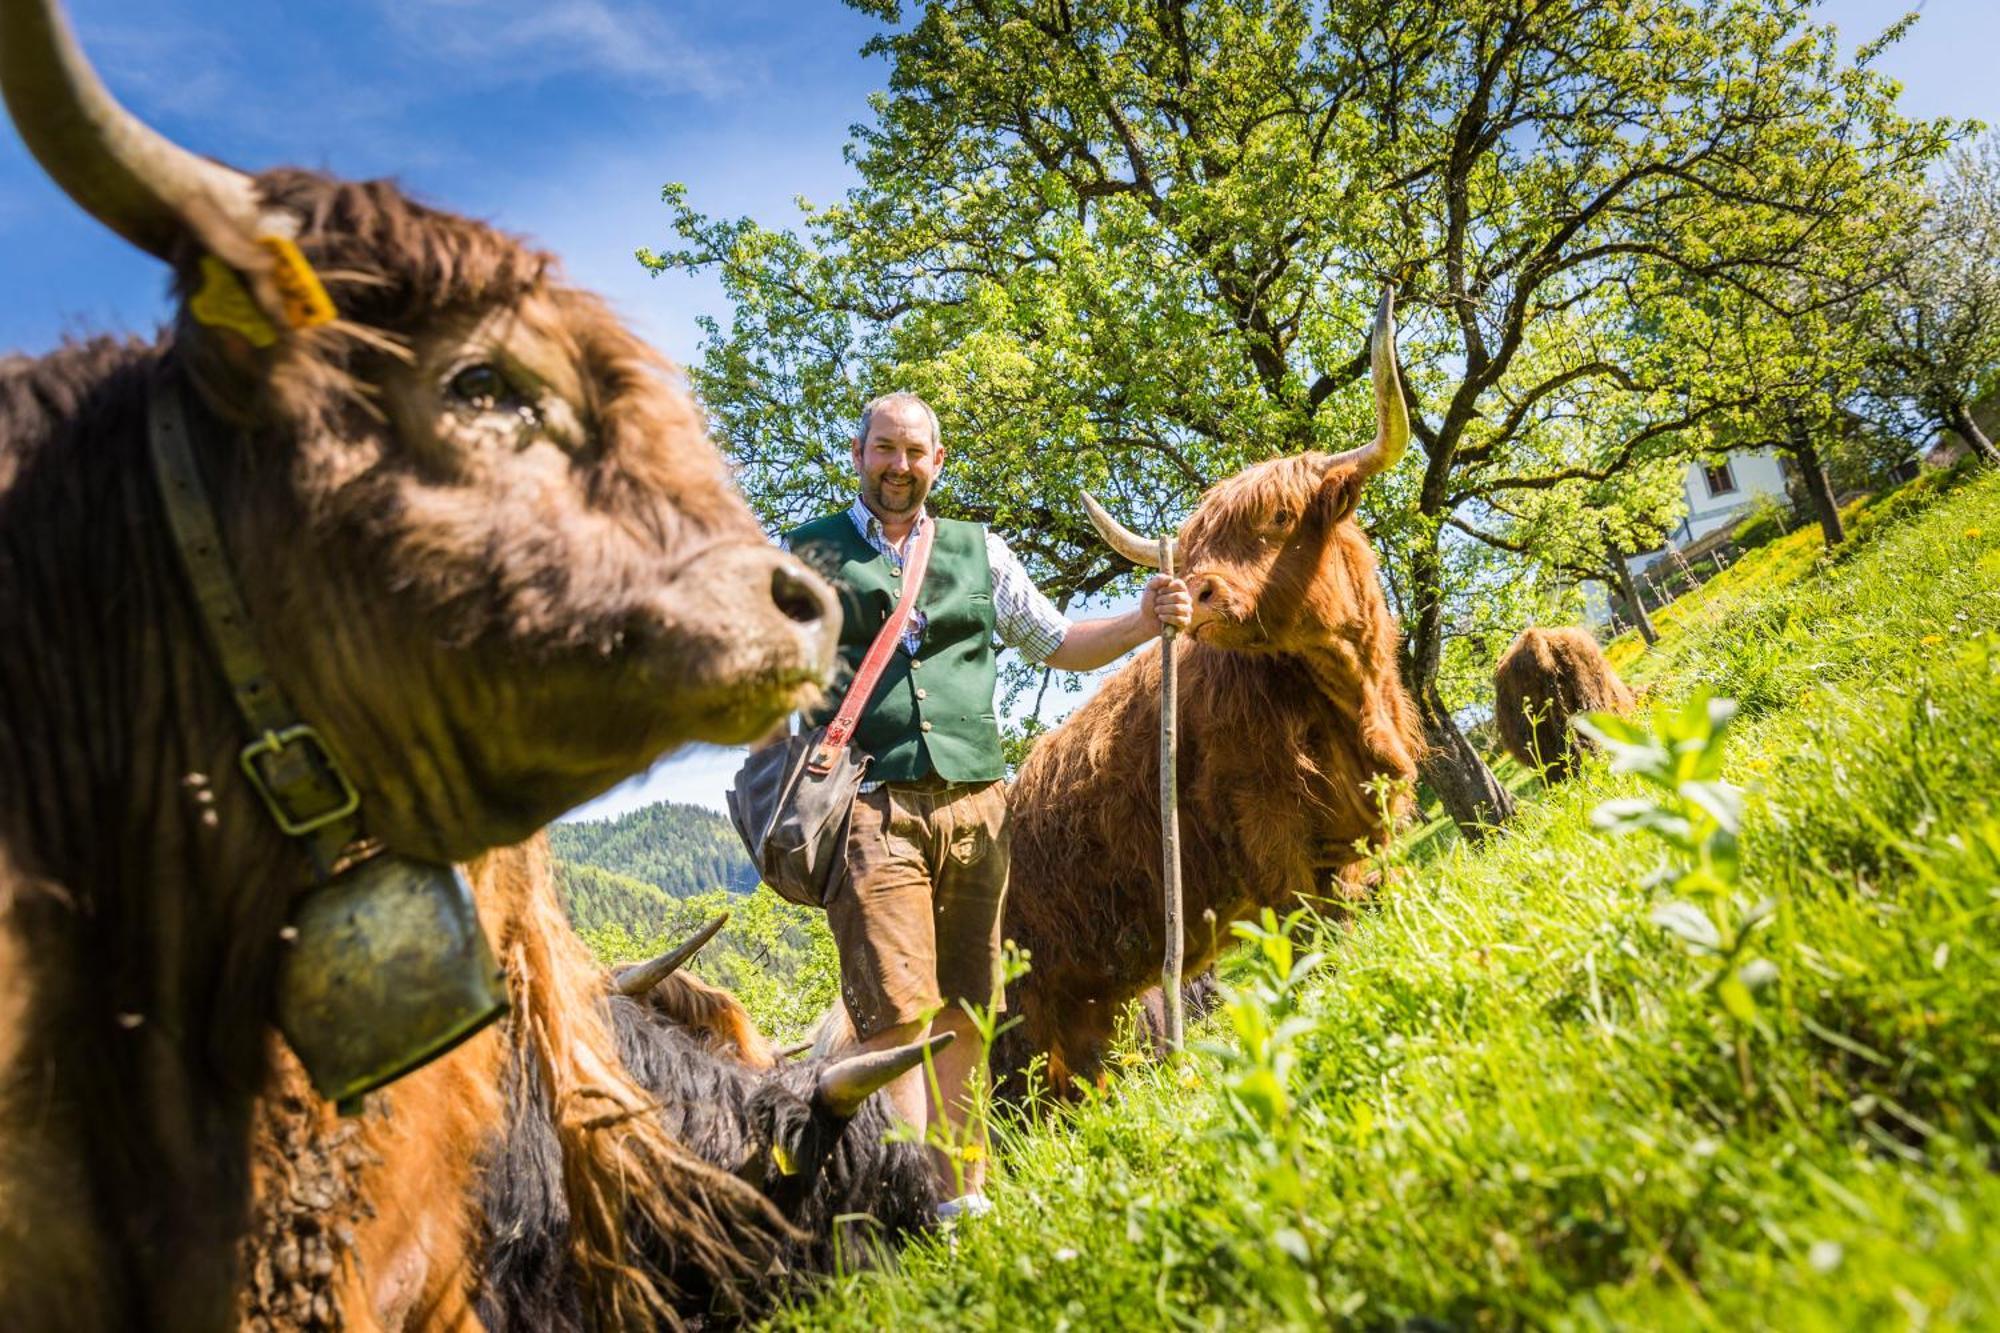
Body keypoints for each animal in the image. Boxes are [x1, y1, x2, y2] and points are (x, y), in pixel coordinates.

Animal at [996, 286, 1424, 1088]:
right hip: (1014, 1006)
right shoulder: (1273, 839)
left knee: (1091, 1071)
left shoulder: (1375, 819)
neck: (1346, 696)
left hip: (1092, 1000)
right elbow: (1316, 943)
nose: (1198, 591)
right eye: (1192, 548)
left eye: (1281, 516)